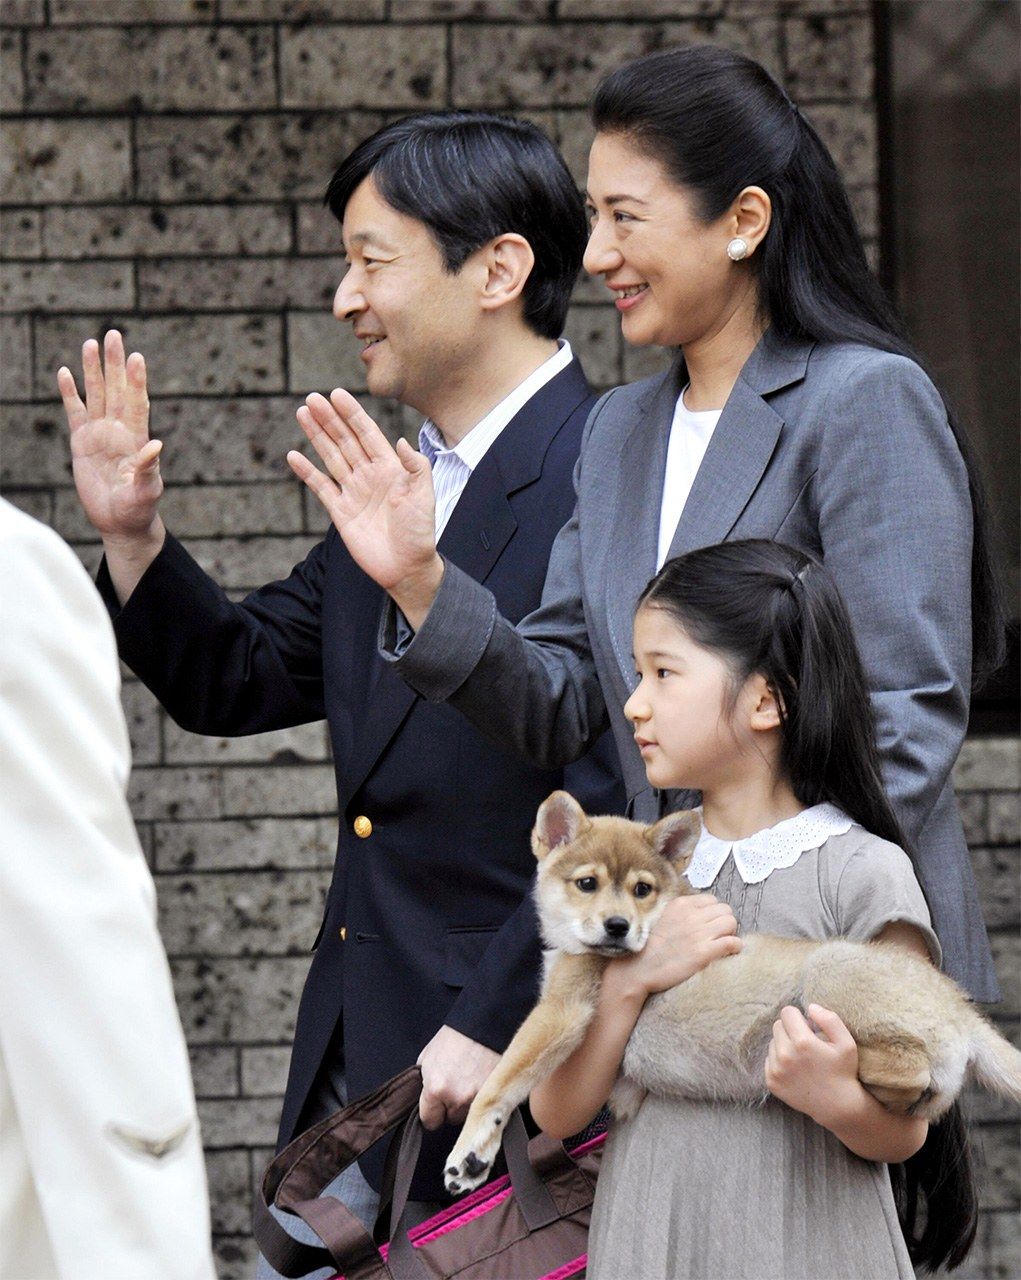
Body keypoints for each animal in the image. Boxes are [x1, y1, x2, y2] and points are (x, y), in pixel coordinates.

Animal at [445, 793, 1021, 1192]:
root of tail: (959, 1004)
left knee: (907, 1068)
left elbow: (498, 1082)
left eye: (641, 889)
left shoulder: (561, 1011)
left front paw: (470, 1154)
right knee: (925, 1094)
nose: (616, 927)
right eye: (587, 883)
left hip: (829, 967)